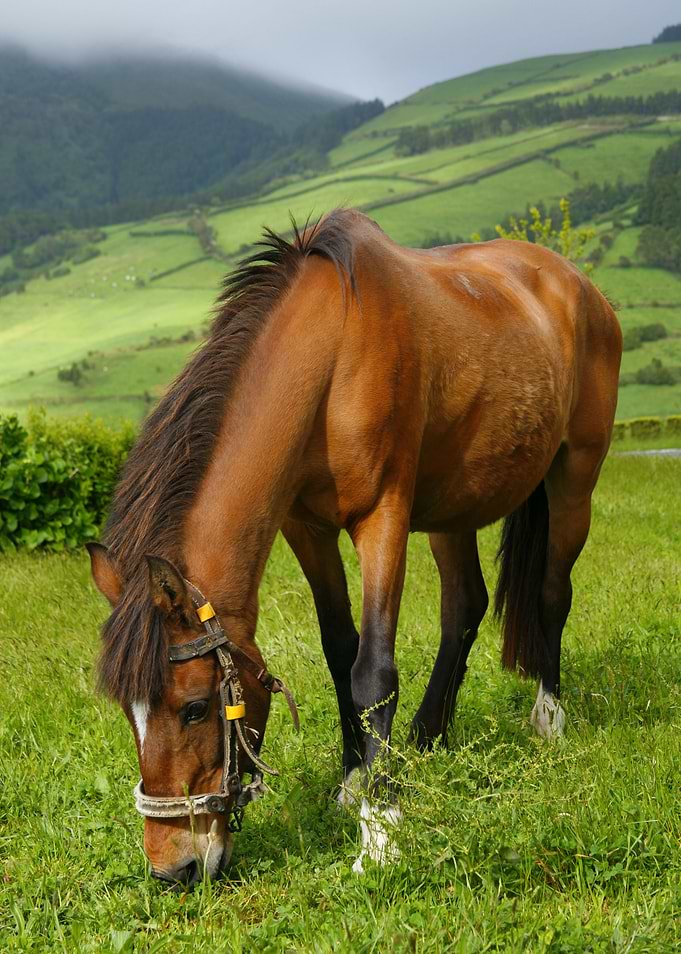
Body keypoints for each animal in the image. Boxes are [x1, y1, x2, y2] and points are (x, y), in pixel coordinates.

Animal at [88, 208, 622, 883]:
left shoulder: (383, 517)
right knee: (464, 607)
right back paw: (426, 736)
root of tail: (580, 287)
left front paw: (381, 827)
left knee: (552, 593)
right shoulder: (305, 528)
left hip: (574, 478)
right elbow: (339, 649)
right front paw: (353, 780)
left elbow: (374, 670)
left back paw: (547, 718)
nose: (173, 869)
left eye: (195, 708)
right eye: (127, 713)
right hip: (452, 506)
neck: (335, 354)